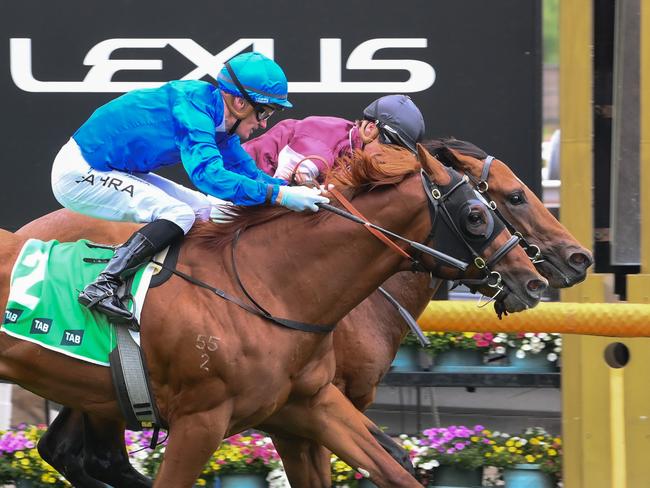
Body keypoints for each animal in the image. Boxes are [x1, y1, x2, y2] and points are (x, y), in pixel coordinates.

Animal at [2, 143, 544, 486]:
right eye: (481, 212)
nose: (533, 279)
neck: (268, 286)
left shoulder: (310, 404)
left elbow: (393, 467)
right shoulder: (202, 421)